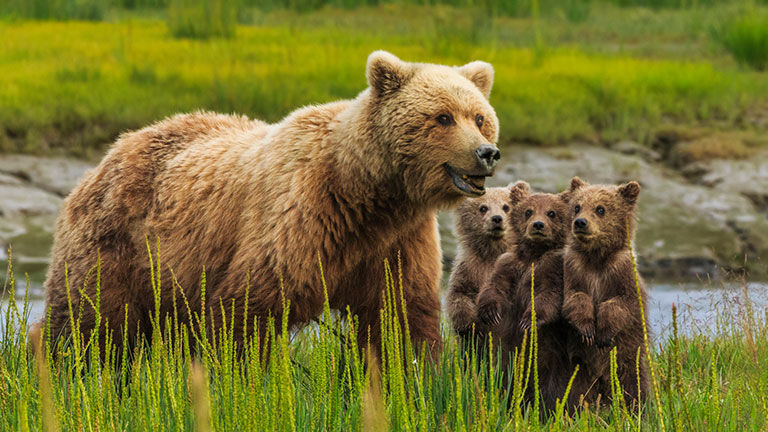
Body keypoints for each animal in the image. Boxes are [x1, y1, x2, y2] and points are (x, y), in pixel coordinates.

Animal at [40, 51, 504, 362]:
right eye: (442, 117)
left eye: (480, 117)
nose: (486, 153)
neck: (367, 193)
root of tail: (111, 152)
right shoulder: (302, 217)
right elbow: (248, 309)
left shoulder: (397, 239)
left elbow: (402, 315)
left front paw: (411, 376)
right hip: (117, 242)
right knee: (87, 320)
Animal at [448, 184, 512, 346]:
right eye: (483, 207)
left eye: (506, 206)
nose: (497, 218)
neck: (492, 250)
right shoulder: (469, 267)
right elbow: (458, 295)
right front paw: (472, 328)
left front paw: (491, 313)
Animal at [476, 181, 572, 412]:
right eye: (528, 211)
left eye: (551, 212)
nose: (538, 225)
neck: (533, 254)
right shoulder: (510, 265)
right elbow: (495, 286)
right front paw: (490, 313)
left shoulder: (553, 268)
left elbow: (549, 296)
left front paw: (528, 320)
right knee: (501, 377)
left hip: (550, 362)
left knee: (554, 389)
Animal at [564, 177, 648, 410]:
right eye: (577, 206)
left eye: (600, 208)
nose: (580, 222)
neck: (596, 258)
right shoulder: (575, 269)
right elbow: (575, 298)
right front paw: (587, 331)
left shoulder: (621, 271)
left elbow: (620, 303)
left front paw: (602, 334)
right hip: (579, 368)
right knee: (575, 391)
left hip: (628, 356)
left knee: (634, 383)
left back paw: (638, 408)